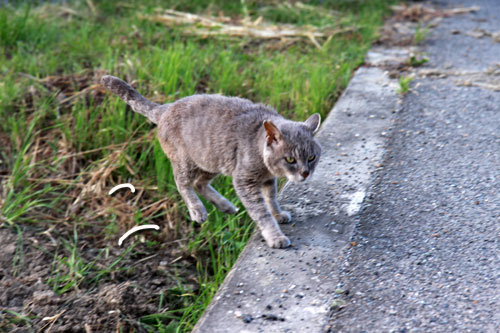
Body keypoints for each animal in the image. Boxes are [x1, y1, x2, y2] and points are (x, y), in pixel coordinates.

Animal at [101, 76, 322, 246]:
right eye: (291, 159)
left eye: (312, 157)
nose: (305, 173)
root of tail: (165, 108)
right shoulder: (244, 181)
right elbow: (261, 213)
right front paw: (275, 236)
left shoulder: (267, 180)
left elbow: (272, 199)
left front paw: (278, 214)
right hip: (186, 161)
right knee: (182, 183)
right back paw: (198, 210)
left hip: (210, 160)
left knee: (199, 184)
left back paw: (225, 206)